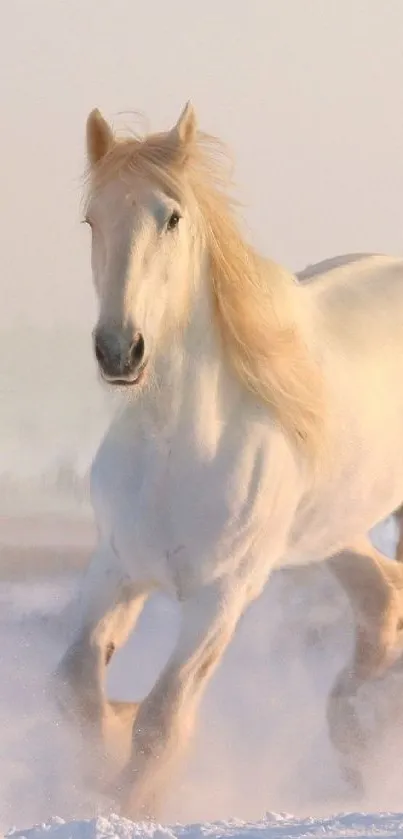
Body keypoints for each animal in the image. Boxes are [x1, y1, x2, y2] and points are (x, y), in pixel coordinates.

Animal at [55, 101, 403, 816]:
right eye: (91, 219)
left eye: (171, 217)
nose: (119, 350)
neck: (176, 448)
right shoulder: (117, 567)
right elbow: (75, 685)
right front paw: (99, 761)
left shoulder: (222, 596)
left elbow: (162, 720)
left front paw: (127, 801)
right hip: (335, 526)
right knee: (383, 595)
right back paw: (355, 735)